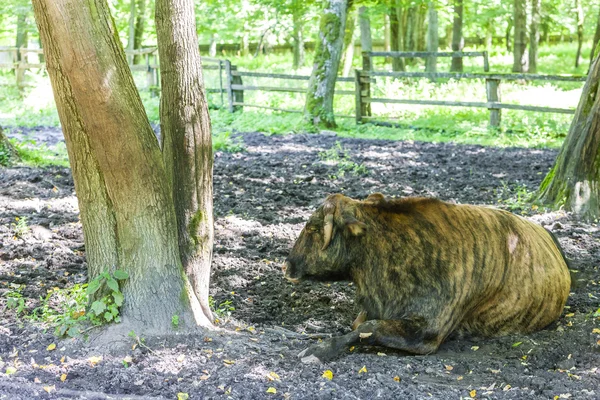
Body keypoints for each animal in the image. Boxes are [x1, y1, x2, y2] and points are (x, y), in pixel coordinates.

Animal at [284, 193, 568, 362]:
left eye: (312, 227)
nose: (287, 264)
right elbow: (360, 325)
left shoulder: (429, 330)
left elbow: (368, 328)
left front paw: (318, 349)